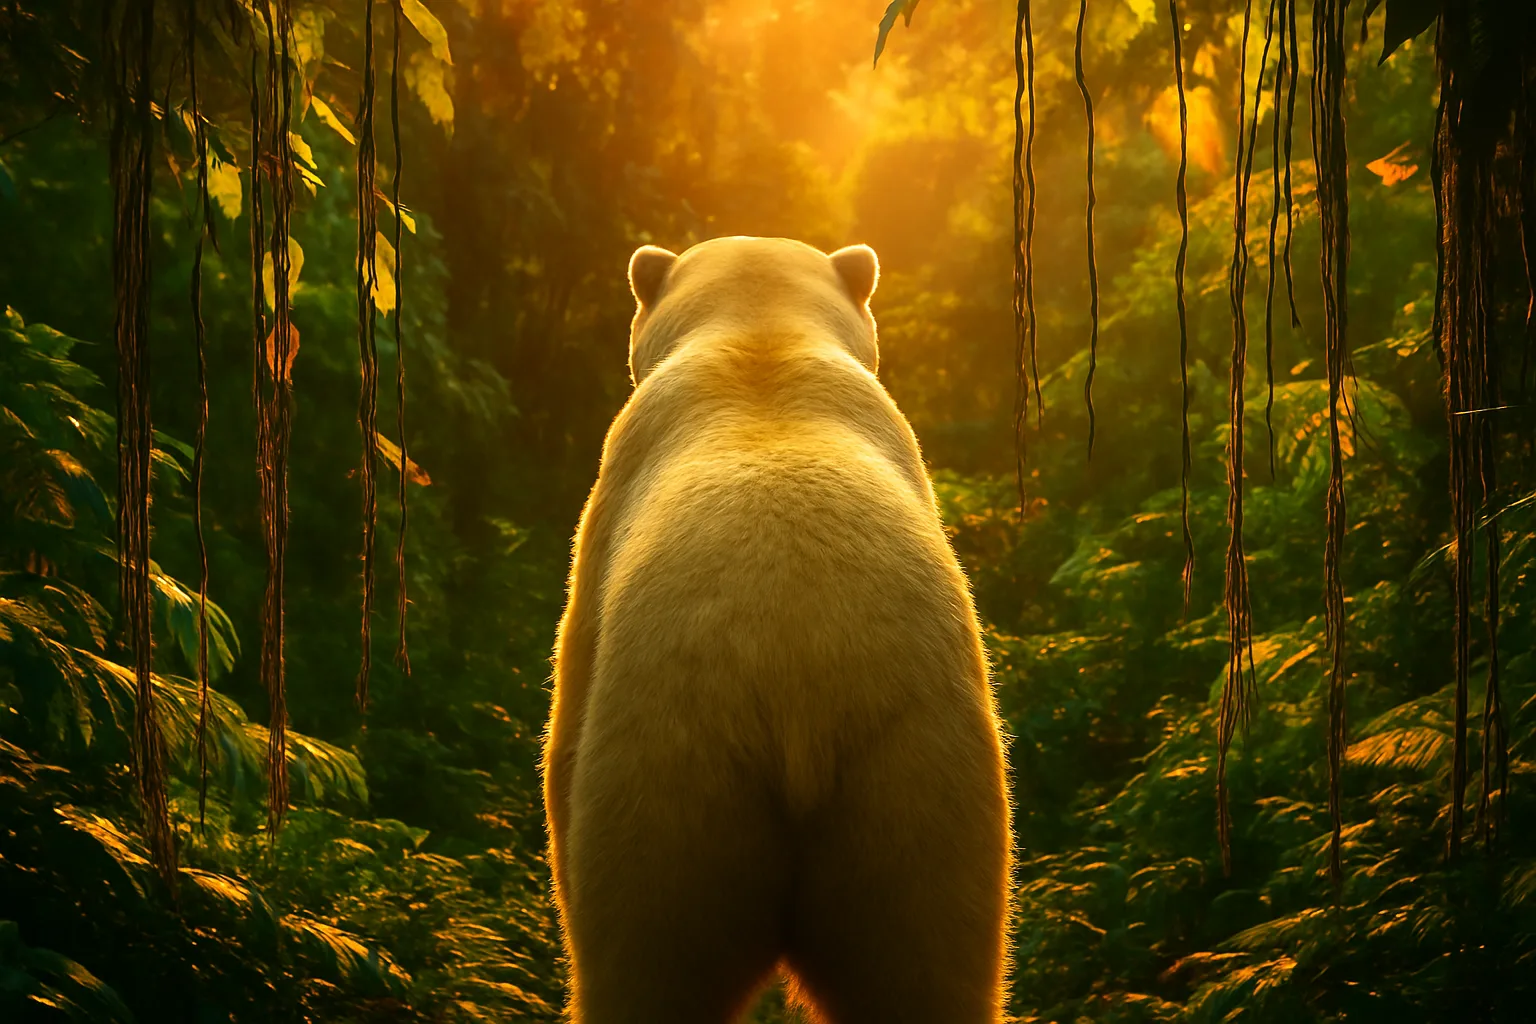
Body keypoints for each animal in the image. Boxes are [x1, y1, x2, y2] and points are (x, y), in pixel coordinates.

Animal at [543, 236, 1012, 1023]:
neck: (761, 340)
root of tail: (799, 694)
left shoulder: (611, 494)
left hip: (671, 786)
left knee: (644, 966)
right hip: (915, 792)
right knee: (924, 972)